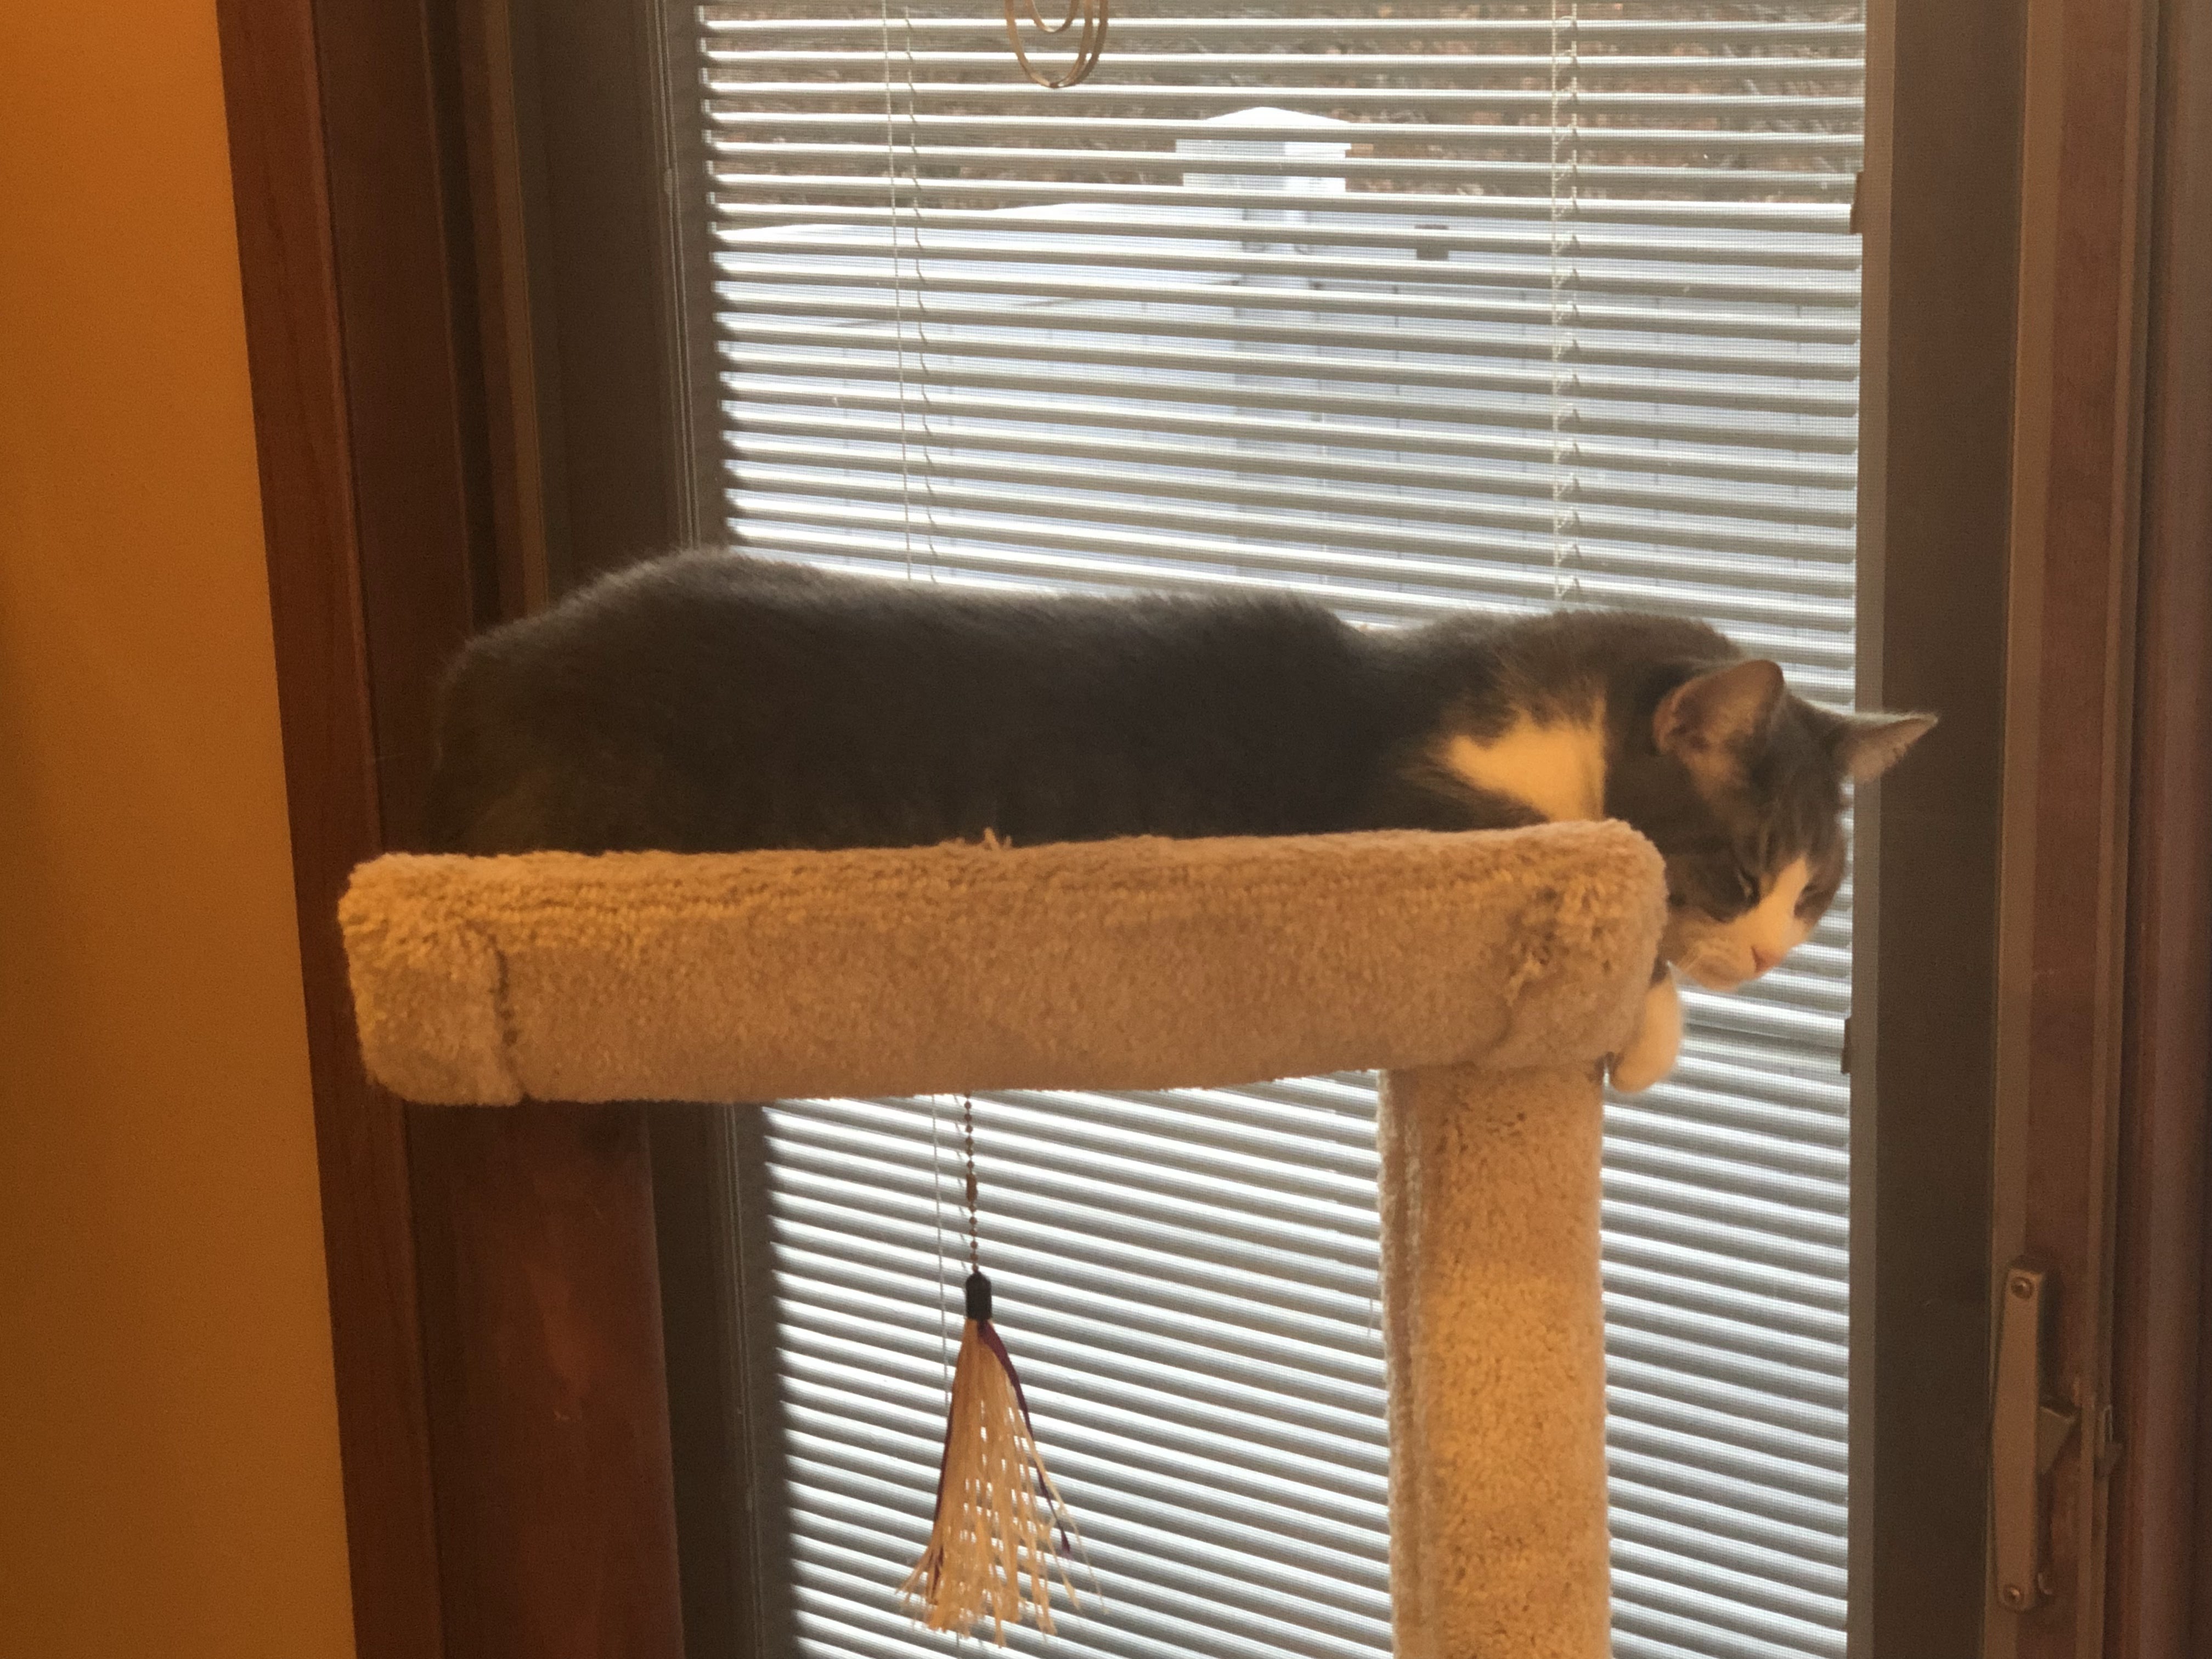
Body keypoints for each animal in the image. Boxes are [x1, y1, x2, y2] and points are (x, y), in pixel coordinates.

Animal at [423, 549, 1933, 1091]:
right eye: (1742, 869)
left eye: (1816, 897)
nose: (1769, 955)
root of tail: (486, 663)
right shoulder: (1403, 819)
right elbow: (1589, 881)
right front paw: (1649, 1020)